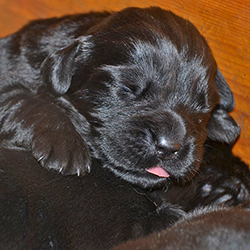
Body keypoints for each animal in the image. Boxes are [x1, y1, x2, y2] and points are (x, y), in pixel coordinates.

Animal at [0, 6, 239, 188]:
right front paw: (64, 142)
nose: (168, 147)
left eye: (202, 107)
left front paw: (224, 125)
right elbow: (26, 99)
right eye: (128, 88)